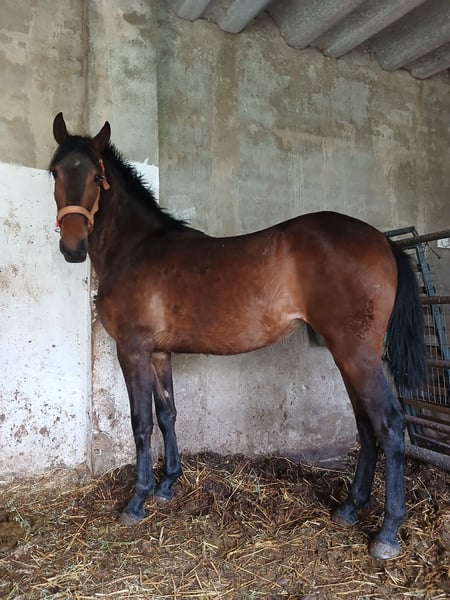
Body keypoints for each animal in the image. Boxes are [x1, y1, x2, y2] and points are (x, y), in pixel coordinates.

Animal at [49, 112, 426, 560]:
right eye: (55, 171)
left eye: (96, 176)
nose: (72, 248)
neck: (136, 248)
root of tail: (381, 240)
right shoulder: (158, 353)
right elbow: (167, 414)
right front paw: (167, 484)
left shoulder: (133, 350)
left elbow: (141, 422)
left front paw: (137, 501)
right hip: (346, 354)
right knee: (367, 426)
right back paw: (350, 508)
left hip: (357, 355)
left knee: (389, 424)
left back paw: (387, 533)